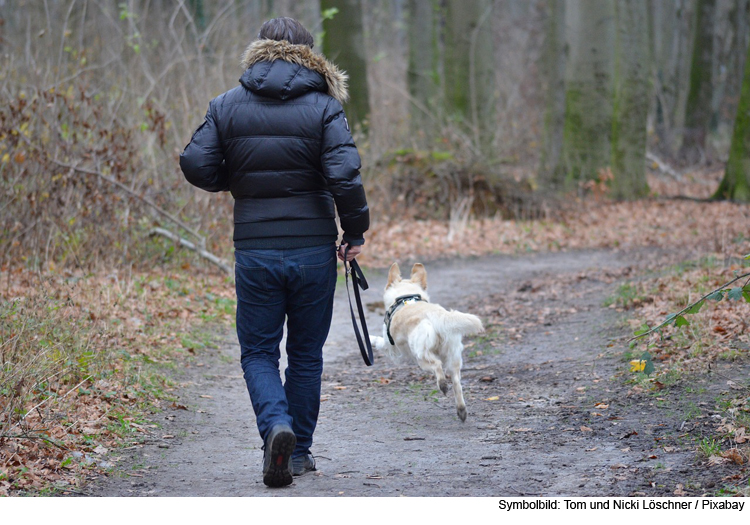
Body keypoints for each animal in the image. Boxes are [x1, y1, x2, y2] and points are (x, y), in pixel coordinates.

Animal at [372, 262, 488, 422]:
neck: (406, 297)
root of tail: (438, 316)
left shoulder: (391, 348)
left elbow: (378, 341)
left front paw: (369, 339)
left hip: (421, 356)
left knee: (437, 366)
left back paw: (442, 385)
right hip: (453, 357)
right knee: (457, 384)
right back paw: (461, 410)